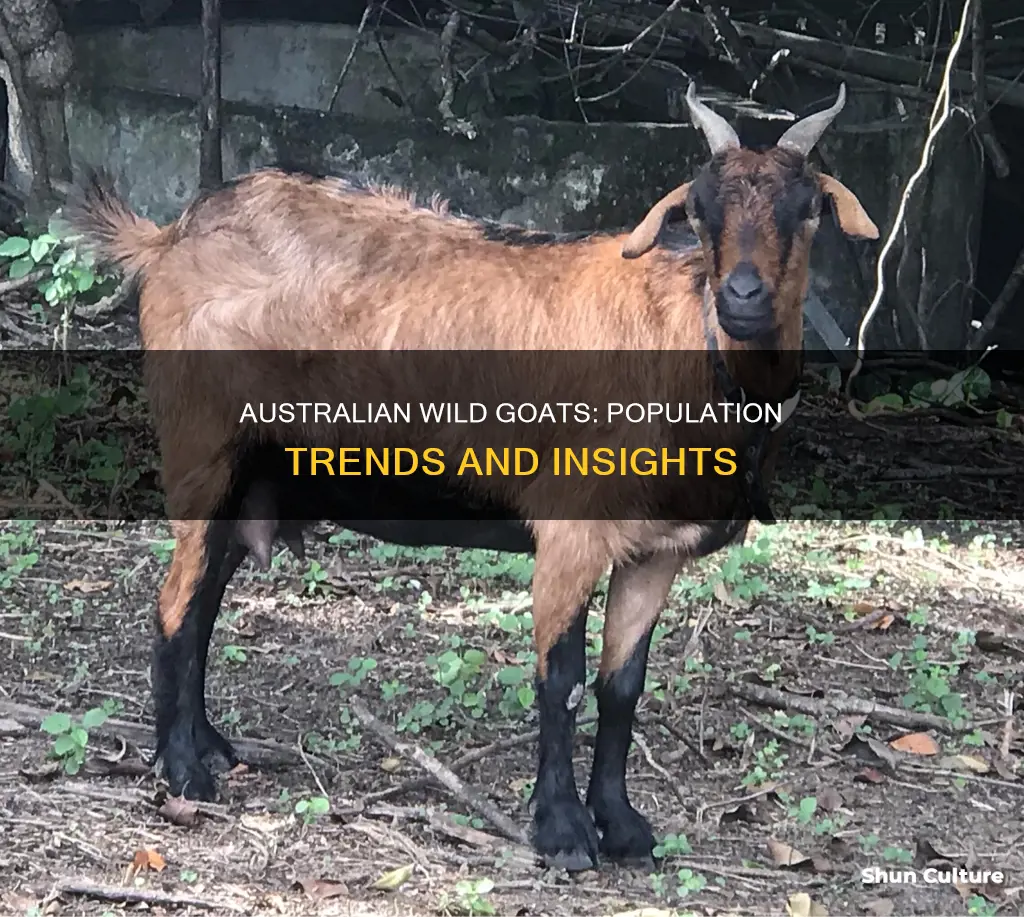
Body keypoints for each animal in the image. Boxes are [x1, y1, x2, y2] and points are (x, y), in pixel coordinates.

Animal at [66, 83, 877, 872]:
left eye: (808, 211)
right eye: (700, 211)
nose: (742, 297)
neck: (688, 344)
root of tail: (172, 237)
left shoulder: (657, 552)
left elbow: (621, 689)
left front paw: (623, 827)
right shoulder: (570, 531)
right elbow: (562, 683)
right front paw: (563, 833)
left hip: (255, 481)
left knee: (201, 603)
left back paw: (210, 747)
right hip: (203, 452)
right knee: (174, 605)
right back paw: (182, 772)